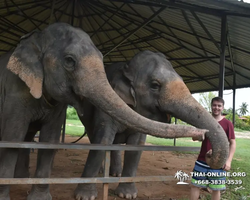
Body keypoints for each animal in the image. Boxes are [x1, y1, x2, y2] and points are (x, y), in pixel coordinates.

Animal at [76, 50, 230, 200]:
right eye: (155, 85)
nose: (209, 153)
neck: (127, 67)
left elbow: (136, 145)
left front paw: (127, 195)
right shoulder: (106, 105)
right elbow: (103, 139)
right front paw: (85, 196)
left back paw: (116, 174)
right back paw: (103, 172)